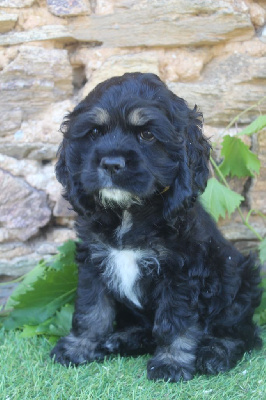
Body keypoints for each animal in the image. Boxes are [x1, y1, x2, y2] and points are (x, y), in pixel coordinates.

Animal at [50, 72, 262, 382]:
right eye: (95, 132)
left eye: (147, 135)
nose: (111, 163)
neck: (128, 212)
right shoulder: (93, 261)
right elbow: (92, 310)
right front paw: (79, 346)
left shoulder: (182, 273)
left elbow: (174, 322)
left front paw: (171, 363)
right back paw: (121, 340)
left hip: (241, 279)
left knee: (241, 332)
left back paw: (214, 353)